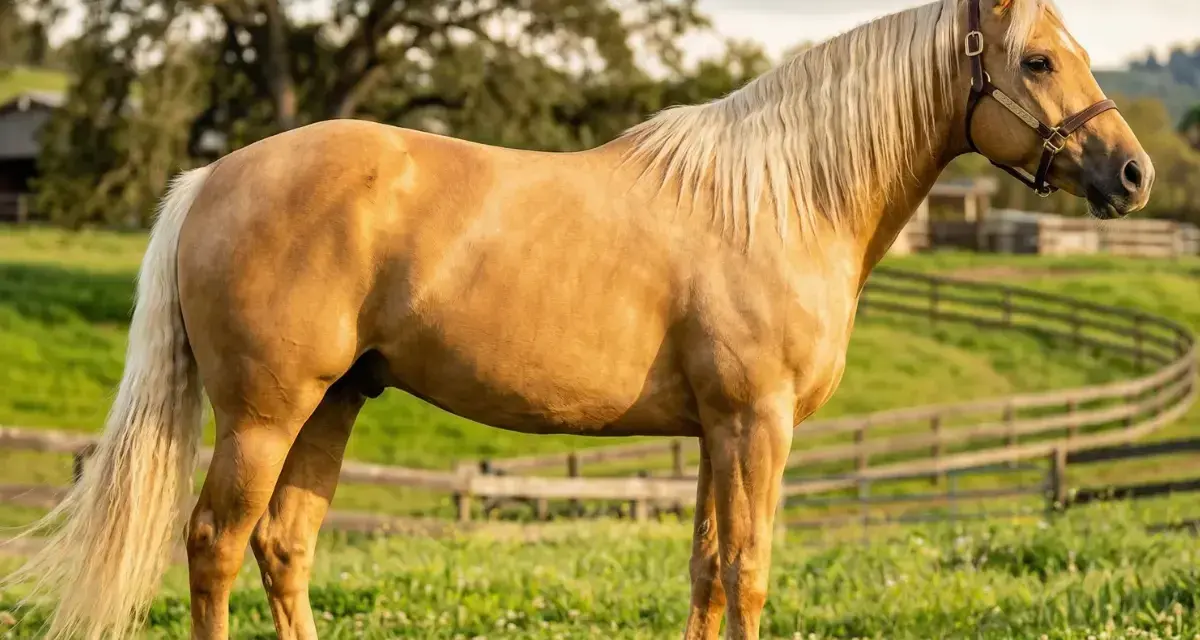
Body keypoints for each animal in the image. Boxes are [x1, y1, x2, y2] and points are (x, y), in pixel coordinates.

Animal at [3, 0, 1152, 638]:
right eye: (1038, 60)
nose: (1134, 174)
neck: (783, 197)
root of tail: (212, 176)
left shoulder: (716, 432)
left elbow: (705, 574)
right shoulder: (757, 425)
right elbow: (750, 575)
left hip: (333, 404)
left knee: (285, 547)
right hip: (262, 413)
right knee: (215, 545)